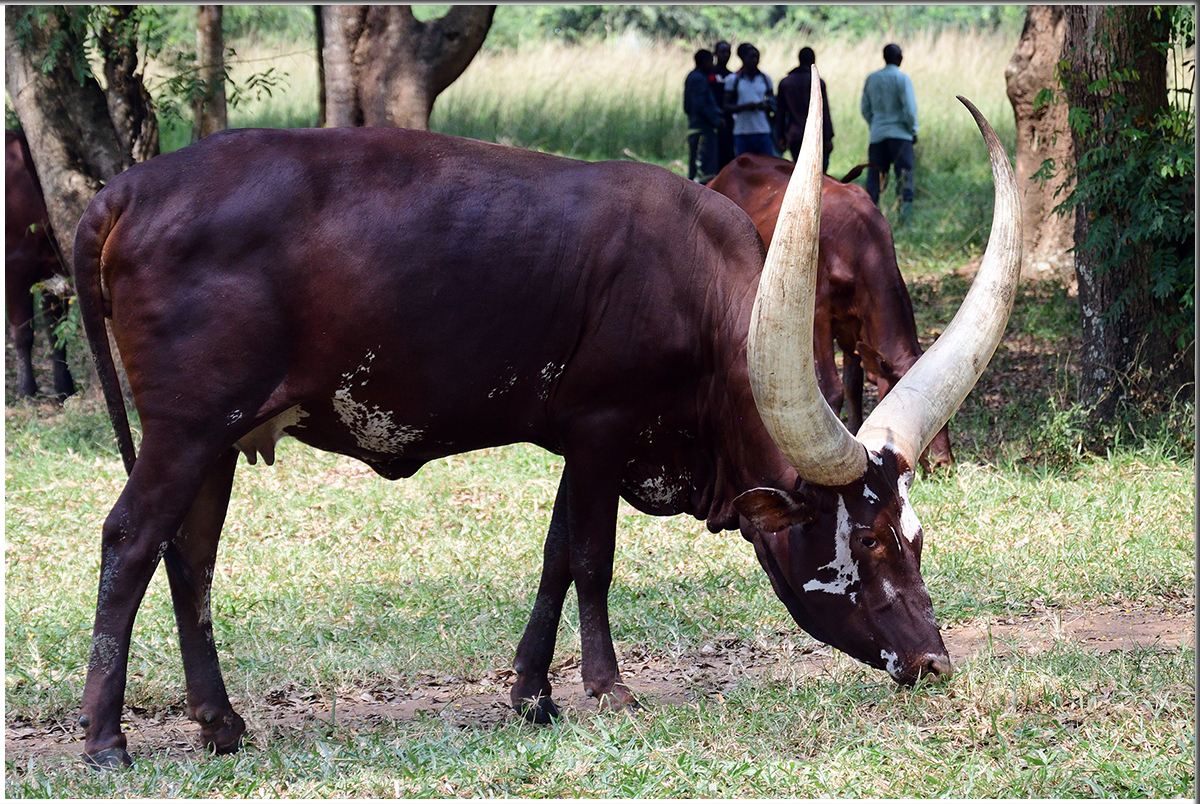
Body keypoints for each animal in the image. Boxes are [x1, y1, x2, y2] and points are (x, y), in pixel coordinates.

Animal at [4, 130, 75, 403]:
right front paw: (26, 391)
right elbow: (23, 332)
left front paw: (65, 388)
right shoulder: (14, 267)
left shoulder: (54, 270)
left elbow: (56, 332)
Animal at [705, 153, 950, 470]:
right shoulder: (818, 316)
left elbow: (853, 384)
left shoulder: (855, 325)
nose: (944, 461)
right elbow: (832, 389)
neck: (861, 242)